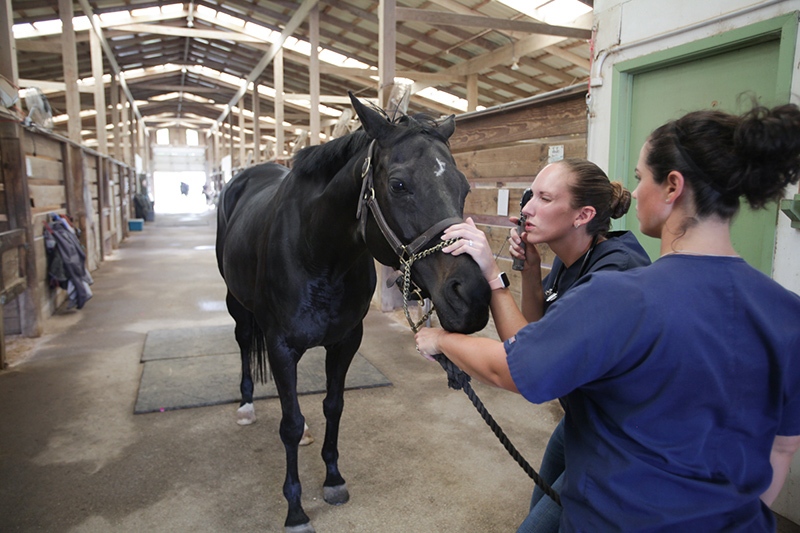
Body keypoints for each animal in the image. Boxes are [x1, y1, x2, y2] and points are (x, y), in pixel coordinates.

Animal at [215, 92, 491, 533]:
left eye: (463, 187)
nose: (472, 296)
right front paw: (295, 510)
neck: (317, 252)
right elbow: (289, 424)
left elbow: (333, 405)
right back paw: (245, 406)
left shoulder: (346, 342)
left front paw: (333, 479)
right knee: (243, 342)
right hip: (235, 303)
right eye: (398, 184)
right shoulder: (279, 347)